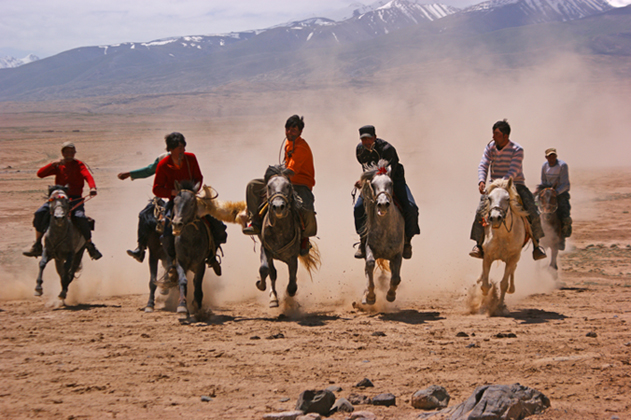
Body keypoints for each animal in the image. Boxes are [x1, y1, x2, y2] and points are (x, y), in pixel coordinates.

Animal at [254, 165, 320, 308]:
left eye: (288, 186)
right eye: (269, 186)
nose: (278, 207)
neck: (279, 230)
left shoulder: (292, 257)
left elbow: (292, 283)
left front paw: (289, 296)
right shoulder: (265, 249)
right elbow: (264, 269)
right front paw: (261, 285)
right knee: (272, 273)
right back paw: (273, 297)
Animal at [360, 160, 404, 306]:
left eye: (391, 183)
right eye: (373, 184)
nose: (383, 204)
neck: (385, 230)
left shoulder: (397, 253)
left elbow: (396, 278)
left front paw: (390, 295)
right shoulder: (369, 247)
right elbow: (370, 265)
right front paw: (370, 296)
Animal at [478, 177, 532, 312]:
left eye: (507, 199)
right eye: (489, 198)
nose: (495, 218)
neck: (503, 235)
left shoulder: (512, 258)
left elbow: (503, 283)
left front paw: (500, 306)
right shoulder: (487, 256)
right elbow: (485, 285)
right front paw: (482, 306)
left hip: (515, 258)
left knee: (513, 271)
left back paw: (512, 288)